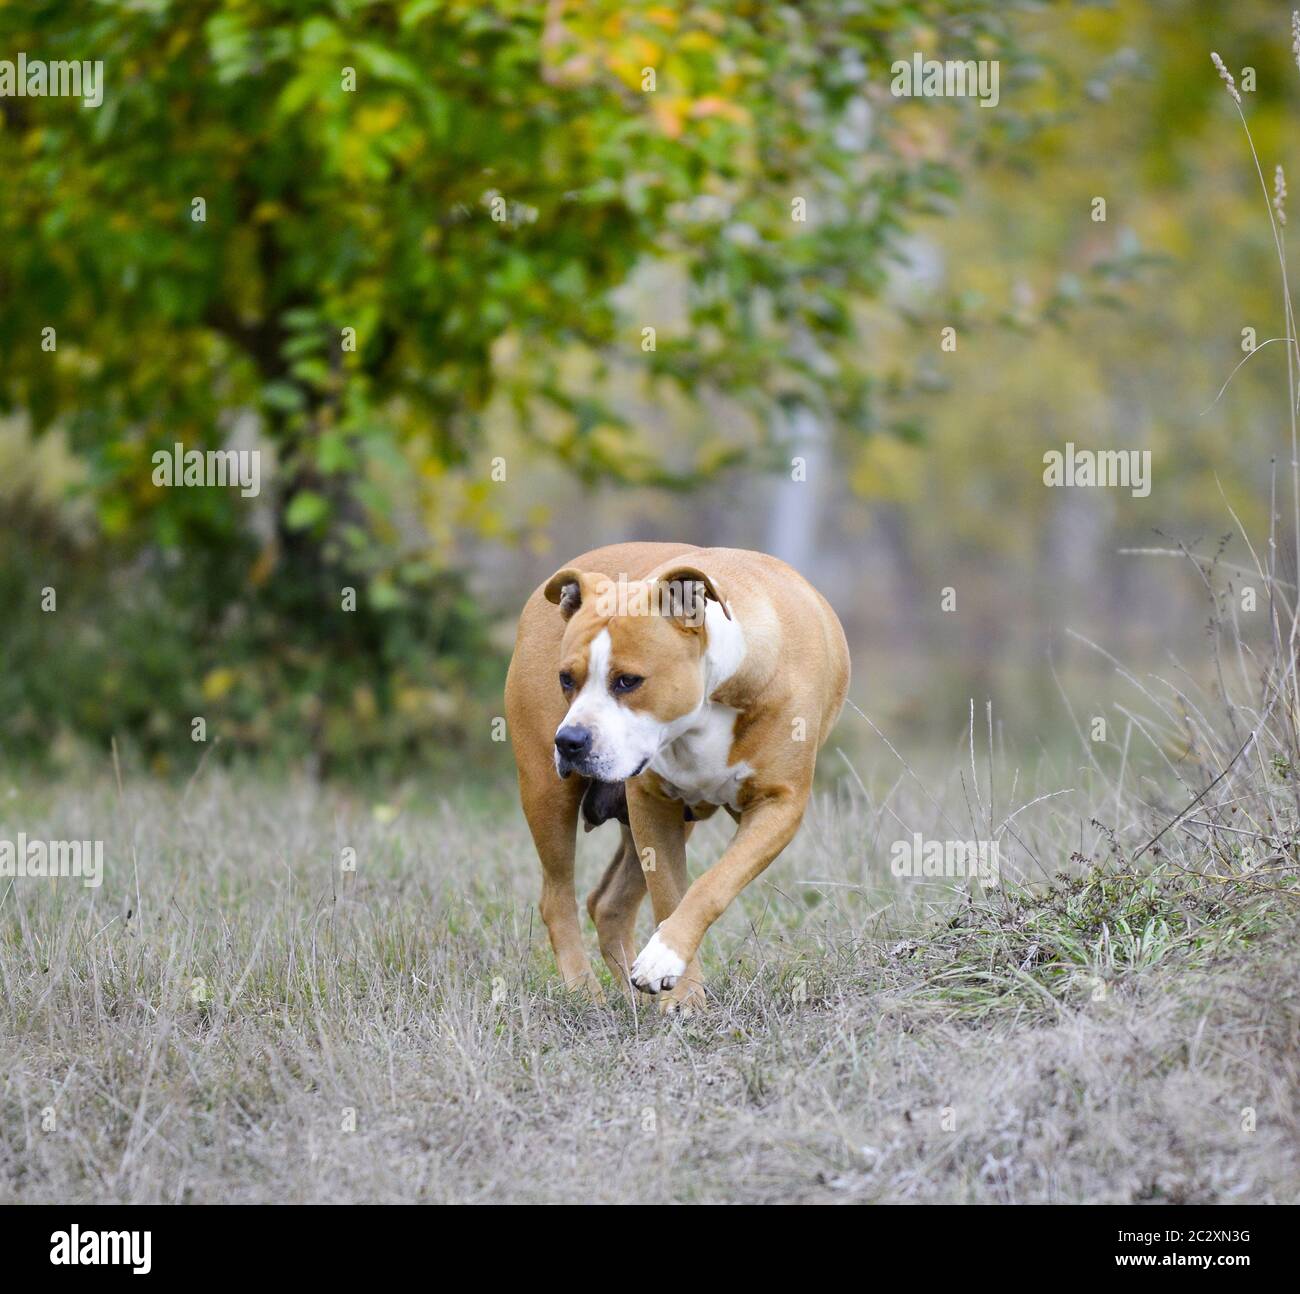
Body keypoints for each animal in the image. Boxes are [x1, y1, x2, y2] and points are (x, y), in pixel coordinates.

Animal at [506, 541, 852, 1019]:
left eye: (628, 681)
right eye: (566, 678)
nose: (569, 740)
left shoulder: (779, 804)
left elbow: (711, 885)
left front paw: (664, 968)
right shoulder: (652, 804)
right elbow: (672, 893)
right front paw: (683, 994)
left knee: (608, 905)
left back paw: (630, 996)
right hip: (547, 793)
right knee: (557, 898)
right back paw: (584, 992)